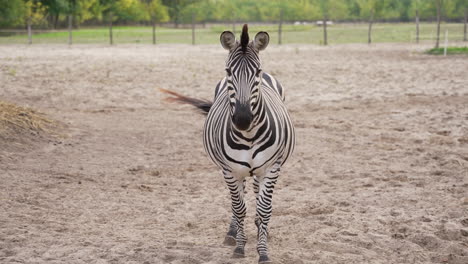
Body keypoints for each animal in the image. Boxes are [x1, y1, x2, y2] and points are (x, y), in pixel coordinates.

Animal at [163, 24, 294, 262]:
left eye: (257, 72)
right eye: (228, 71)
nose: (242, 119)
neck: (249, 135)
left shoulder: (272, 168)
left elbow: (264, 209)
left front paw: (263, 251)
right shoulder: (230, 170)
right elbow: (239, 207)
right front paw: (240, 247)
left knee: (255, 194)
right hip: (232, 171)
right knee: (237, 199)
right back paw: (233, 232)